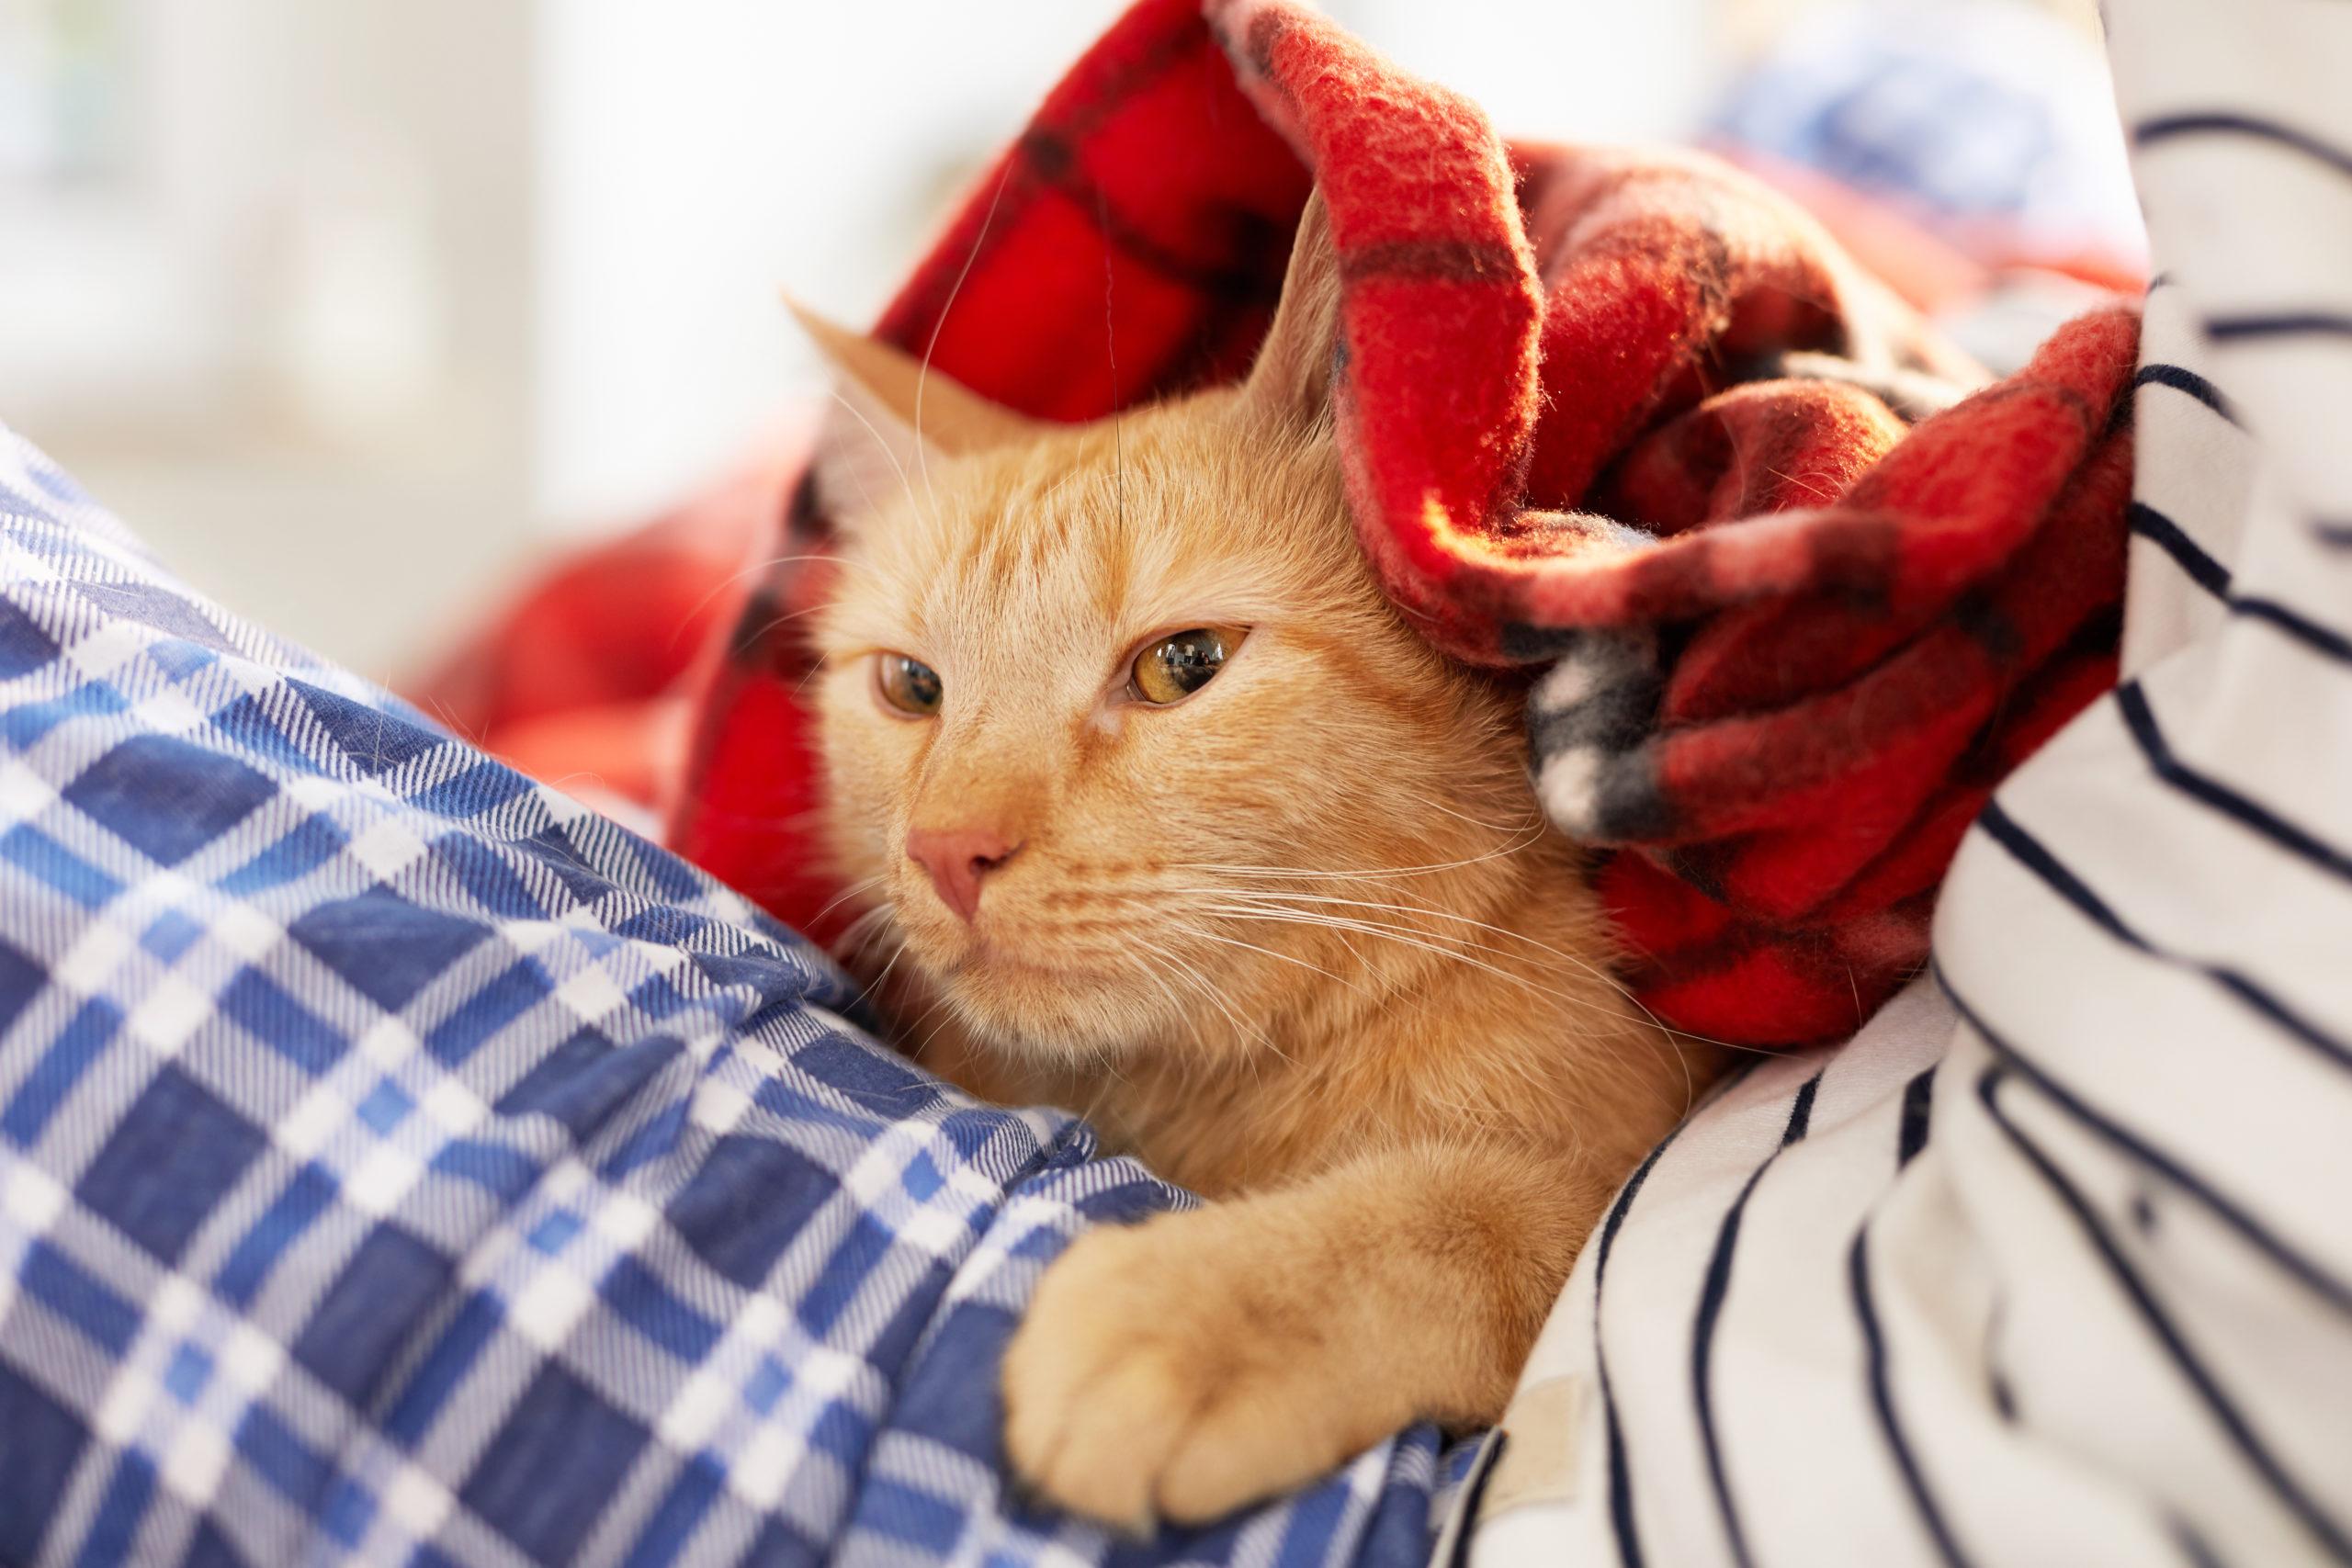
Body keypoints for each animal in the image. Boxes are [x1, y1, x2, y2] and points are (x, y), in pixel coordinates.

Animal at [799, 196, 1721, 1532]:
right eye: (911, 687)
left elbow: (1483, 1214)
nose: (948, 848)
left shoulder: (1622, 1157)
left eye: (1181, 663)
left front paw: (1204, 1306)